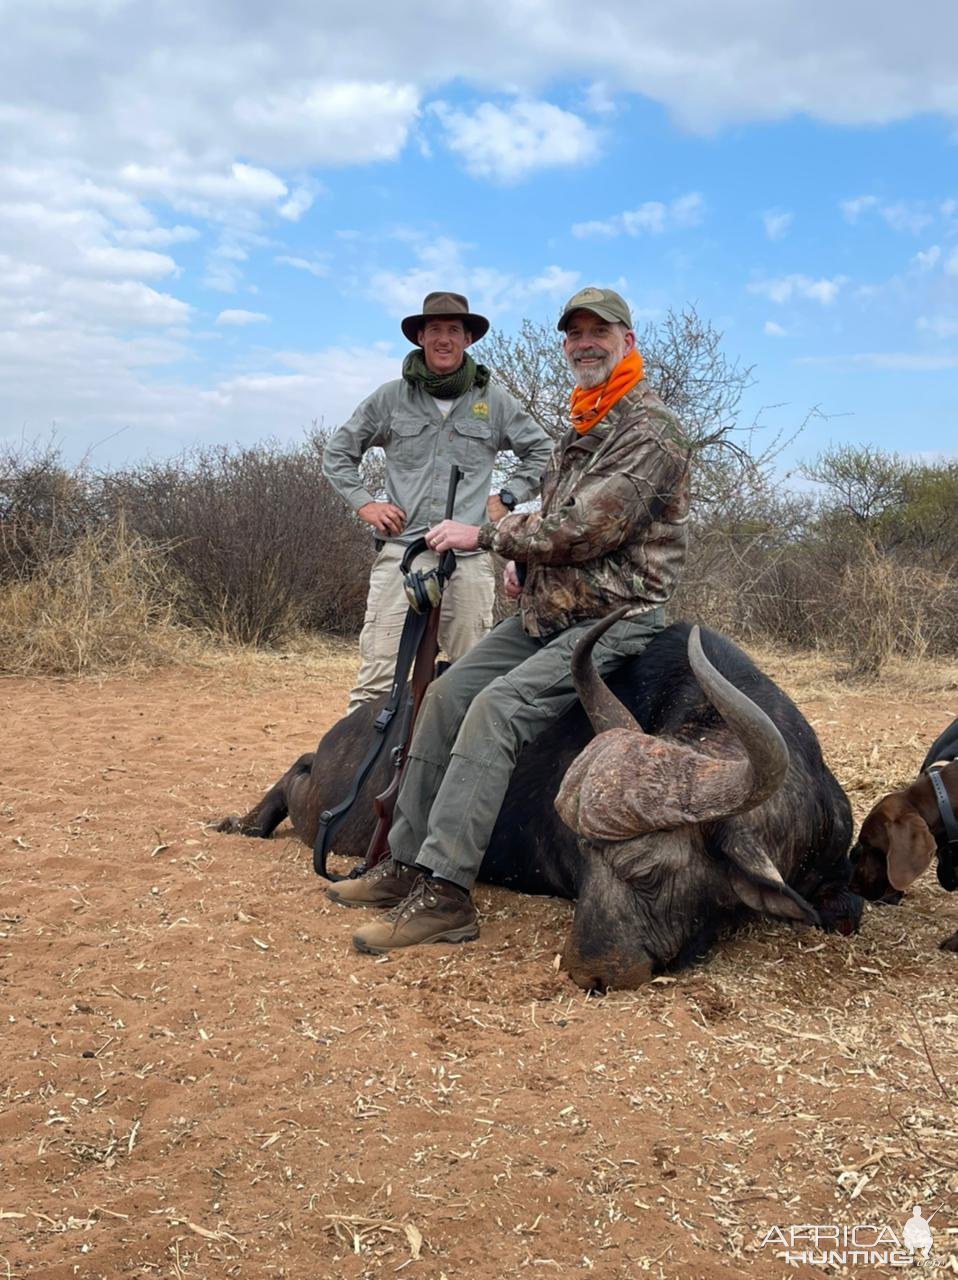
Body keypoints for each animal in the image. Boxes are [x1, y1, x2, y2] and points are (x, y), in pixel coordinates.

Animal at [216, 619, 860, 988]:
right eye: (586, 863)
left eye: (647, 875)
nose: (588, 974)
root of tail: (353, 728)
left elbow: (844, 912)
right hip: (329, 813)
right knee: (295, 778)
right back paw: (243, 822)